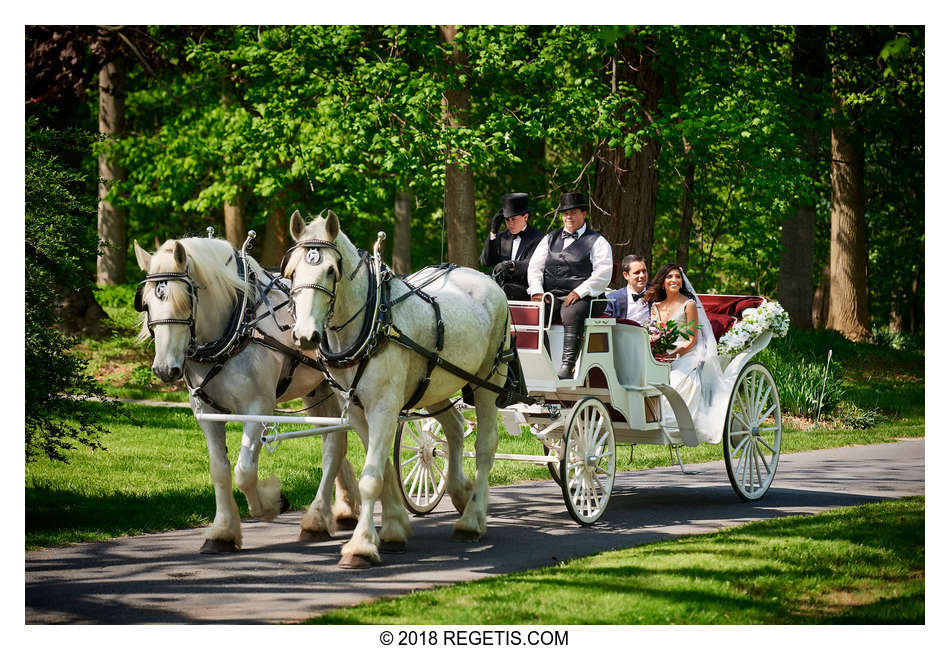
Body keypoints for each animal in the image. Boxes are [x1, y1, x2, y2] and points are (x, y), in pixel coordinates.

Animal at [138, 235, 364, 548]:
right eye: (146, 305)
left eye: (184, 301)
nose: (164, 369)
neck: (237, 327)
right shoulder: (207, 412)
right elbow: (219, 471)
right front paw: (222, 532)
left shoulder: (257, 408)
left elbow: (244, 472)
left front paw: (272, 503)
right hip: (319, 391)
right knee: (335, 444)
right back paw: (341, 510)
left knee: (342, 445)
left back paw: (323, 518)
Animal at [286, 210, 512, 564]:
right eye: (293, 271)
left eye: (331, 270)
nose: (306, 335)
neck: (373, 323)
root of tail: (485, 278)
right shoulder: (359, 412)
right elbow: (384, 470)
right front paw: (393, 528)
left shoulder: (383, 406)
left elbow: (370, 478)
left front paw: (362, 545)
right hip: (436, 384)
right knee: (455, 427)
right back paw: (460, 492)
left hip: (489, 381)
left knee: (486, 445)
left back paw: (472, 519)